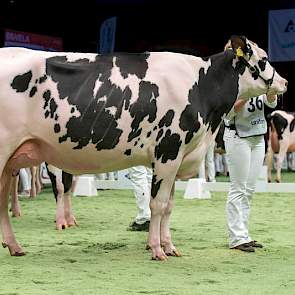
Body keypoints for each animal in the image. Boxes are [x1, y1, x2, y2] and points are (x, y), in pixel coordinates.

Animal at [0, 35, 288, 260]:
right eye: (263, 59)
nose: (284, 82)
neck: (201, 86)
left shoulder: (176, 158)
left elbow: (169, 205)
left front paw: (169, 247)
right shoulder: (168, 152)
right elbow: (157, 204)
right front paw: (157, 249)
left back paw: (14, 246)